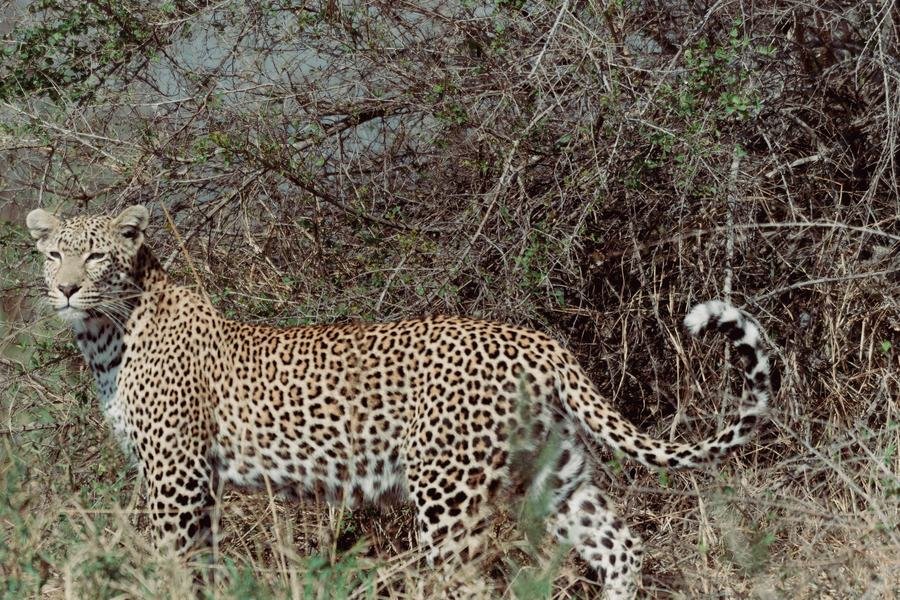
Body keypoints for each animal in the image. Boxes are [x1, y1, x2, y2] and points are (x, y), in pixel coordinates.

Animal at [27, 205, 773, 599]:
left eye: (97, 257)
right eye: (53, 254)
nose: (64, 289)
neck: (106, 334)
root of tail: (536, 340)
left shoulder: (177, 476)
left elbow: (170, 561)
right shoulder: (196, 484)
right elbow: (203, 564)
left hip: (449, 491)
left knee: (473, 582)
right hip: (551, 473)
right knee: (620, 545)